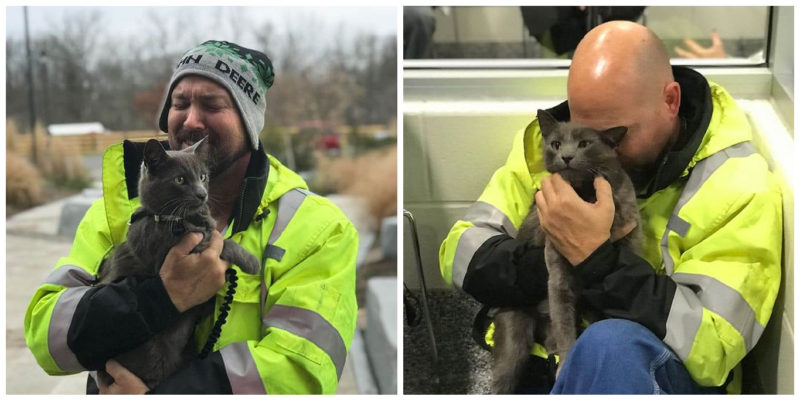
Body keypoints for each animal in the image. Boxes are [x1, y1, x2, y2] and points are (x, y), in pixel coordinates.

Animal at [95, 138, 260, 390]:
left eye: (203, 176)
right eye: (180, 180)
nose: (202, 194)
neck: (177, 219)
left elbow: (216, 236)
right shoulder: (172, 251)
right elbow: (224, 242)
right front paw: (252, 262)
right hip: (151, 355)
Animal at [490, 109, 640, 394]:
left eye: (584, 144)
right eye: (556, 144)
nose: (567, 156)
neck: (585, 194)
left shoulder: (631, 235)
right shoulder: (557, 271)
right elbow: (564, 322)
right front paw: (567, 360)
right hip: (514, 333)